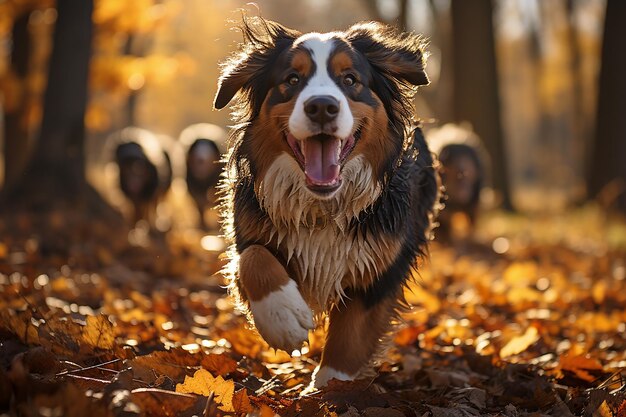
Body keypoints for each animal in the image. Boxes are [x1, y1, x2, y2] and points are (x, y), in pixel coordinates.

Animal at [212, 16, 436, 386]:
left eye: (350, 80)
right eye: (292, 79)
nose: (321, 106)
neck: (323, 208)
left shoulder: (382, 266)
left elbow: (349, 339)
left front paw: (329, 389)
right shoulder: (247, 230)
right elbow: (253, 258)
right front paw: (282, 317)